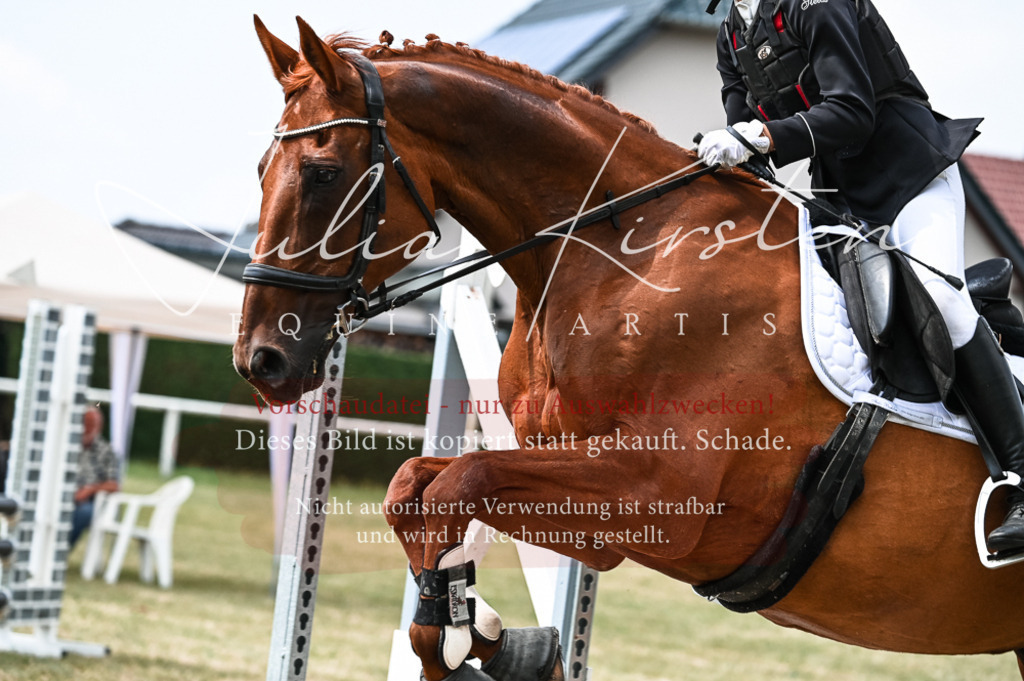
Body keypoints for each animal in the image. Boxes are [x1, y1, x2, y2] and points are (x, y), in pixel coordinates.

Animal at [232, 16, 1024, 681]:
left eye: (324, 173)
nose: (260, 360)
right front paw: (471, 627)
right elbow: (415, 487)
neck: (625, 251)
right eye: (261, 171)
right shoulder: (585, 495)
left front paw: (470, 633)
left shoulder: (659, 495)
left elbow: (463, 481)